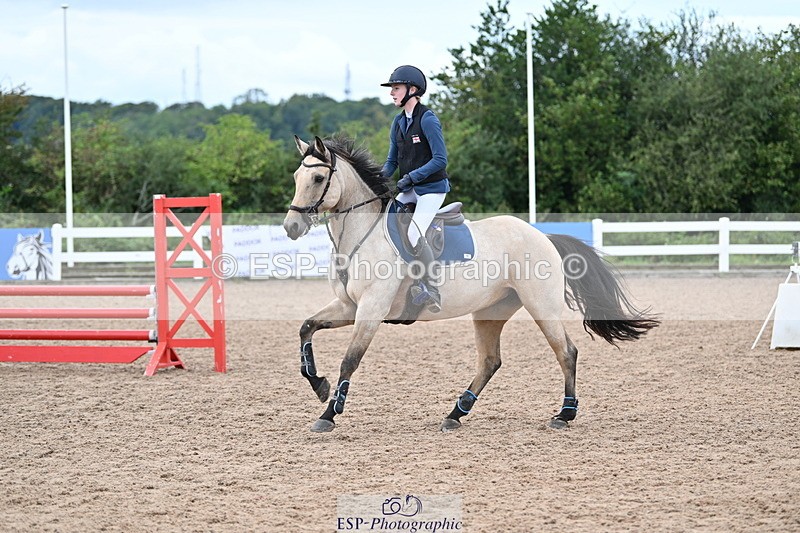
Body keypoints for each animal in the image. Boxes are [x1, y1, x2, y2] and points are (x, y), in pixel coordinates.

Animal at [283, 135, 659, 433]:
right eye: (297, 176)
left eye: (318, 177)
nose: (291, 227)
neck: (363, 233)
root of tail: (542, 236)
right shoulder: (349, 306)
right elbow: (306, 328)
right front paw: (318, 384)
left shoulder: (372, 308)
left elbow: (350, 359)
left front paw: (329, 413)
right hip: (491, 311)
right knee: (490, 361)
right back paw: (455, 413)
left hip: (542, 306)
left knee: (565, 352)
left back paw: (564, 415)